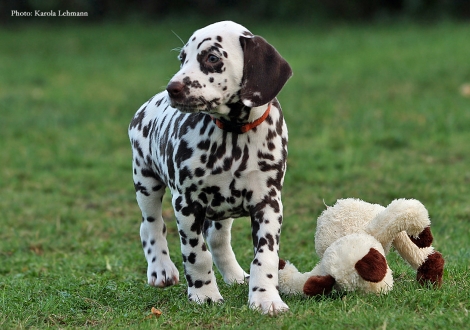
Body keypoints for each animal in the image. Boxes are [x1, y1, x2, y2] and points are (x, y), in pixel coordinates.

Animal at [126, 20, 292, 314]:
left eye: (212, 58)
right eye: (182, 58)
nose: (172, 87)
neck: (234, 135)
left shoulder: (269, 203)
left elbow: (266, 256)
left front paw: (265, 298)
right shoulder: (187, 203)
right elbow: (196, 254)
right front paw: (204, 294)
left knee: (218, 238)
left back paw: (234, 275)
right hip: (145, 181)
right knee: (151, 225)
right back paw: (161, 269)